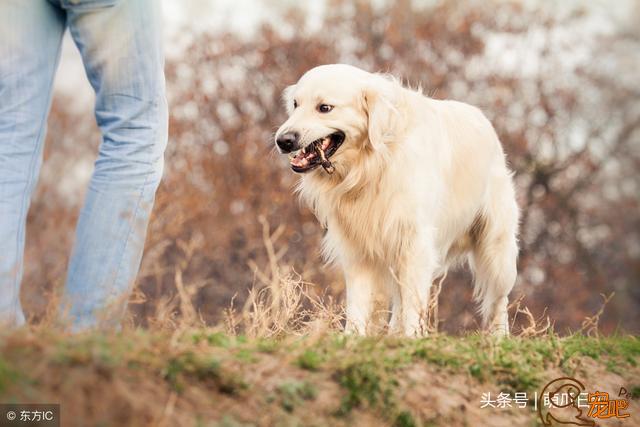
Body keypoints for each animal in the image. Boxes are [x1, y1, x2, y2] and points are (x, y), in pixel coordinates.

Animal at [272, 64, 516, 338]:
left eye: (324, 107)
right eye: (295, 104)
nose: (283, 141)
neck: (371, 165)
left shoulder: (415, 242)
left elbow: (412, 301)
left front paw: (412, 338)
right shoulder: (357, 247)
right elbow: (359, 302)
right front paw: (352, 337)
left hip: (497, 250)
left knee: (498, 300)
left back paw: (500, 337)